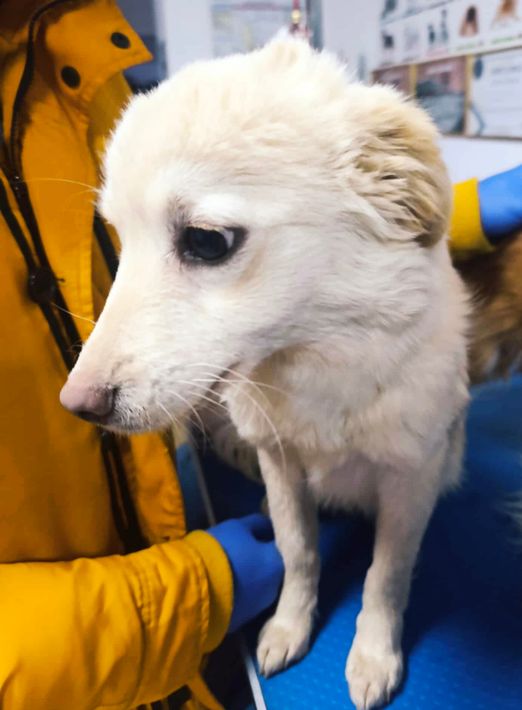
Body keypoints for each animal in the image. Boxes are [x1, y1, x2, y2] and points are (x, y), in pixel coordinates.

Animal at [60, 39, 469, 708]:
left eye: (205, 241)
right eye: (119, 240)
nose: (77, 406)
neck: (315, 356)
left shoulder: (410, 478)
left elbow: (386, 575)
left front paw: (373, 655)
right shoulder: (281, 466)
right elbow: (297, 549)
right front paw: (287, 627)